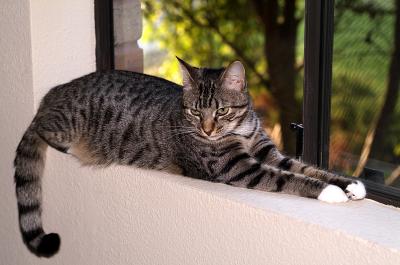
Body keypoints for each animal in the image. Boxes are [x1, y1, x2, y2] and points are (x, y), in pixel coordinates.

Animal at [13, 57, 366, 256]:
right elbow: (289, 178)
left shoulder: (266, 150)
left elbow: (304, 167)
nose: (208, 130)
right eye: (197, 112)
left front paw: (349, 184)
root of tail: (51, 95)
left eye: (221, 111)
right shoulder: (235, 168)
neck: (239, 130)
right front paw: (330, 192)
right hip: (62, 127)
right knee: (43, 132)